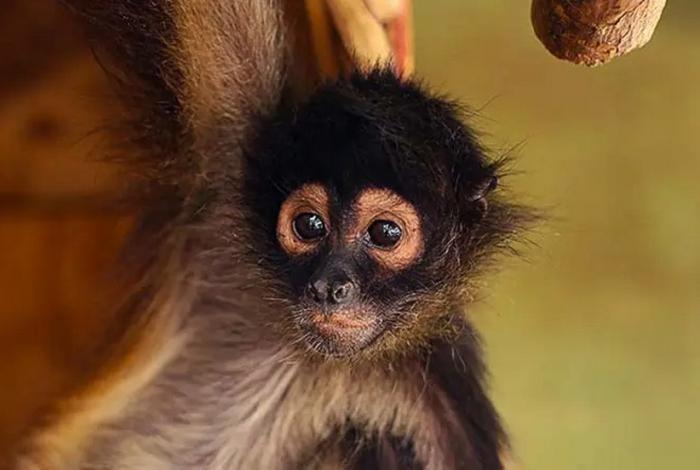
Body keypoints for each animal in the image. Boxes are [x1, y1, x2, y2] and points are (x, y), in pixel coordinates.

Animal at [15, 1, 531, 469]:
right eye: (309, 225)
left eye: (385, 232)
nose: (330, 286)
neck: (313, 358)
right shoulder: (230, 177)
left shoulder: (440, 391)